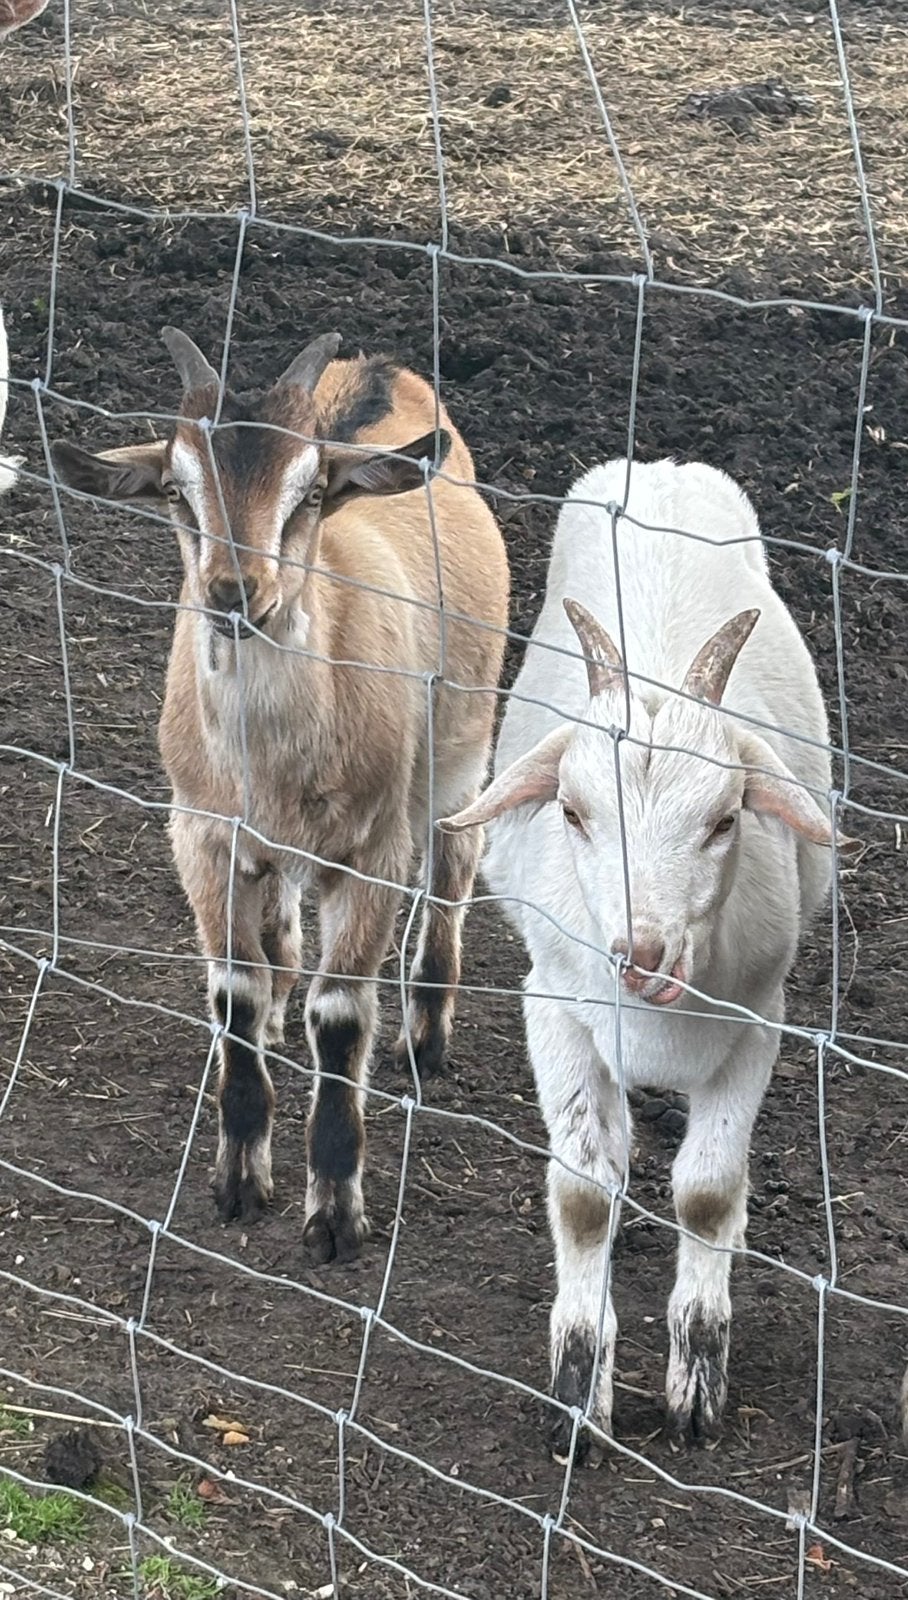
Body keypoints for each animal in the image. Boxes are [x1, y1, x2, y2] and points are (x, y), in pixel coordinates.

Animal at [51, 329, 509, 1261]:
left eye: (311, 493)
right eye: (177, 491)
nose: (236, 591)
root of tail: (378, 373)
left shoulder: (372, 849)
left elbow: (339, 1017)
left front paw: (333, 1211)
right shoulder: (201, 833)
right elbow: (233, 991)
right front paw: (236, 1175)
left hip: (462, 748)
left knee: (455, 862)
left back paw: (425, 1035)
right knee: (277, 934)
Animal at [441, 457, 849, 1453]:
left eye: (726, 820)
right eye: (573, 812)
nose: (642, 956)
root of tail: (660, 467)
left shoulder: (761, 1019)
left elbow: (705, 1191)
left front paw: (696, 1378)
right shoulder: (553, 1008)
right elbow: (587, 1192)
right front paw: (578, 1387)